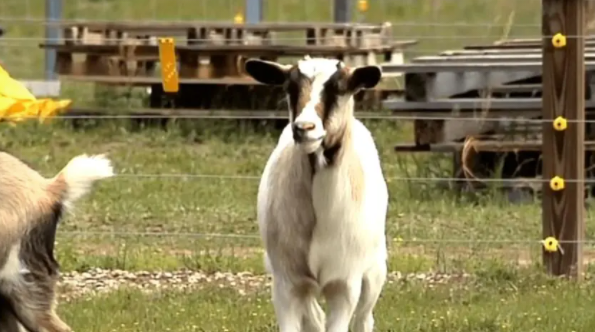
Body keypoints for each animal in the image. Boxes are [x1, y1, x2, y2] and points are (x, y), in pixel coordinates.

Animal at [246, 57, 392, 332]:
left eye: (340, 88)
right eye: (290, 88)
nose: (304, 128)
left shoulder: (344, 285)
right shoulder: (287, 283)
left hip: (374, 271)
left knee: (364, 318)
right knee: (314, 318)